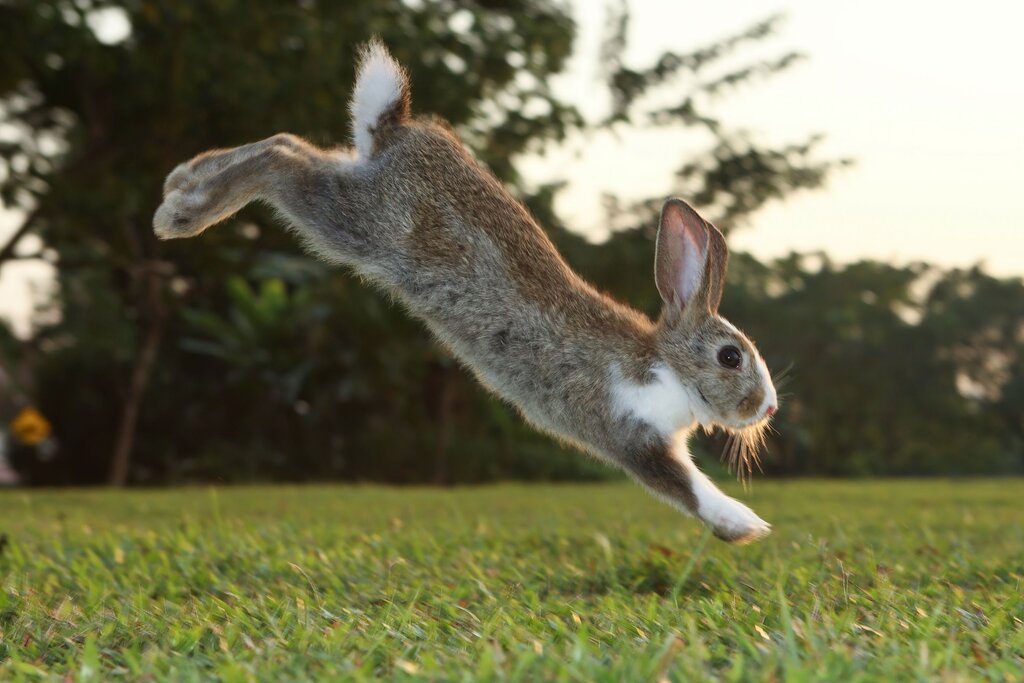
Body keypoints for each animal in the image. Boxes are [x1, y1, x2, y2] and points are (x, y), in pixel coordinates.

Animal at [154, 41, 779, 543]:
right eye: (731, 357)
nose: (768, 407)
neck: (664, 363)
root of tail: (398, 130)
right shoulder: (631, 435)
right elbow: (687, 487)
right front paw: (747, 526)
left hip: (351, 189)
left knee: (291, 144)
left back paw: (181, 180)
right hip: (356, 222)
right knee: (280, 159)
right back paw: (179, 213)